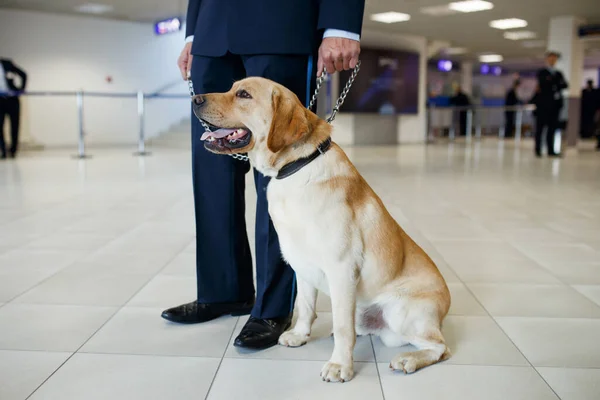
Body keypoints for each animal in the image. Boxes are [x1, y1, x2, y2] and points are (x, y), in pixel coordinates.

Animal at [192, 77, 450, 382]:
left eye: (243, 94)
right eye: (232, 88)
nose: (194, 99)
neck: (295, 168)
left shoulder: (341, 268)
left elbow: (342, 327)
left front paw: (340, 365)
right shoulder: (301, 263)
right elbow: (305, 306)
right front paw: (300, 335)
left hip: (401, 312)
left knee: (440, 347)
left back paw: (409, 358)